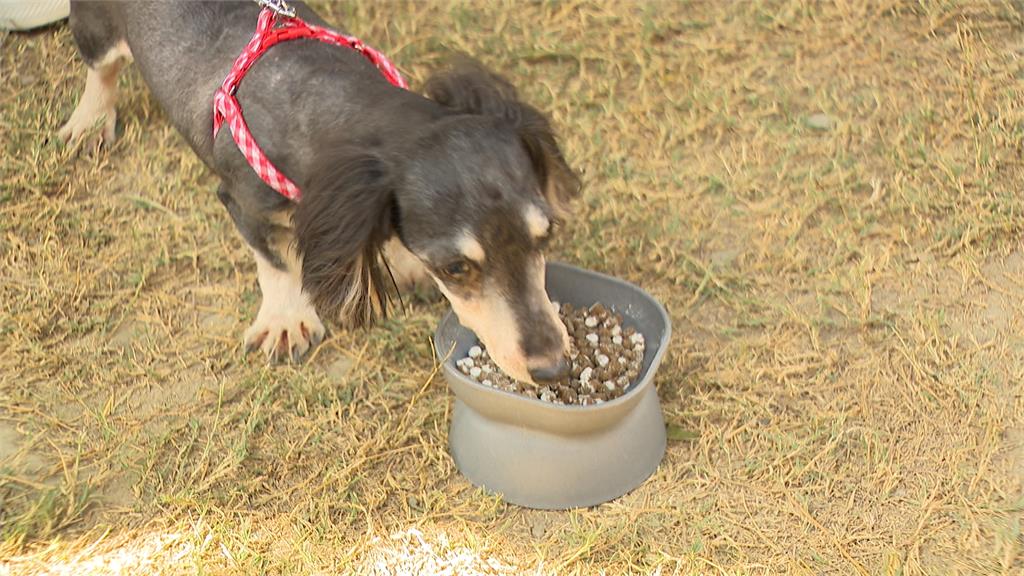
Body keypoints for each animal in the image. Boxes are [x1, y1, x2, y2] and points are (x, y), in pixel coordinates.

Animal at [59, 3, 581, 385]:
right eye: (455, 267)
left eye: (546, 236)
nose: (553, 368)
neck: (331, 100)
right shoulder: (245, 206)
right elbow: (277, 263)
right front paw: (286, 320)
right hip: (96, 28)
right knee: (100, 69)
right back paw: (89, 121)